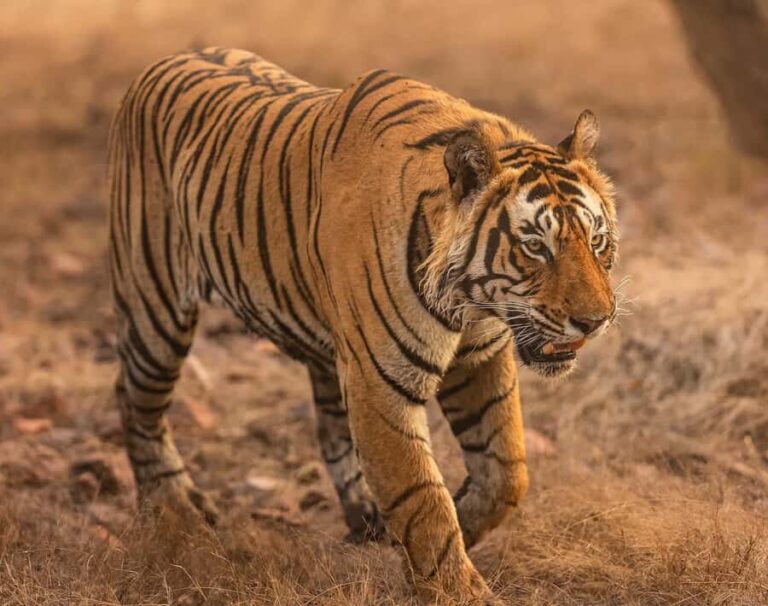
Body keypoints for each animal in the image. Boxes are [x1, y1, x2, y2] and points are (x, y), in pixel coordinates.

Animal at [108, 47, 618, 604]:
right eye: (535, 247)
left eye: (596, 241)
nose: (596, 320)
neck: (468, 302)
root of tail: (168, 58)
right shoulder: (382, 382)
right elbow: (423, 499)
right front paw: (455, 586)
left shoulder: (479, 358)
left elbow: (506, 472)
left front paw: (453, 527)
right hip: (156, 308)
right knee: (135, 399)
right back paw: (172, 507)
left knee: (331, 428)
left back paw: (365, 519)